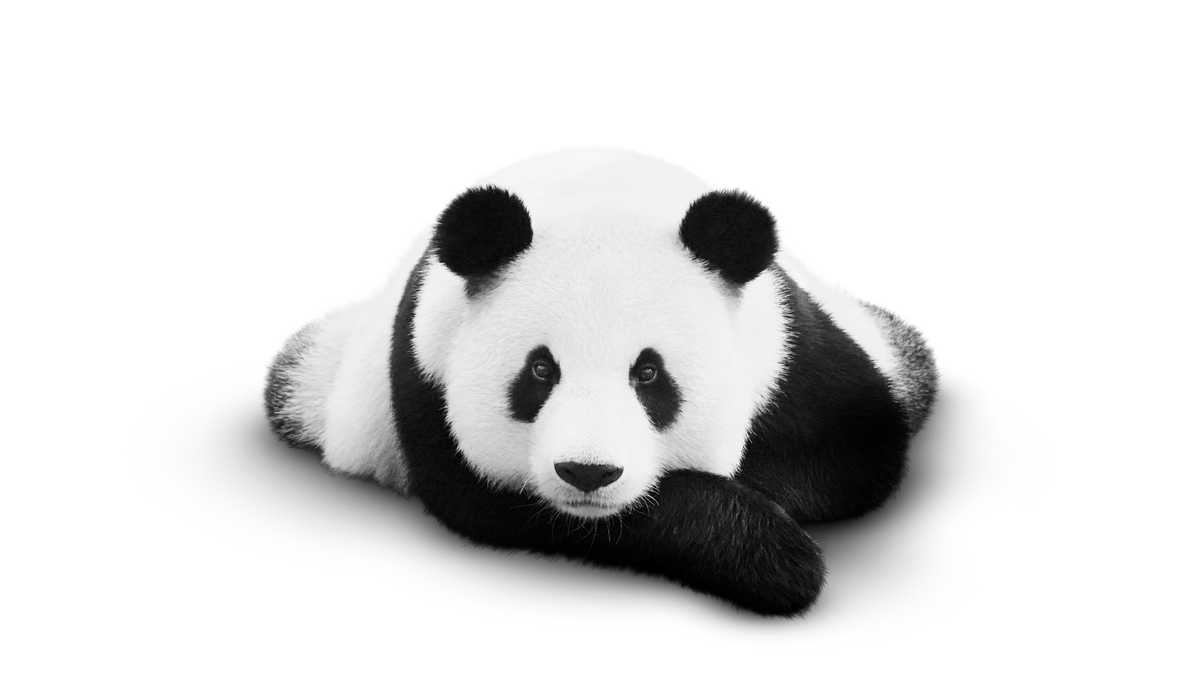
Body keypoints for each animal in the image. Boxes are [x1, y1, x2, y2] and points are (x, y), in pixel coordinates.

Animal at [260, 144, 941, 613]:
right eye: (540, 370)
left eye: (649, 374)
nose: (587, 474)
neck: (601, 192)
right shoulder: (424, 374)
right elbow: (495, 506)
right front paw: (776, 556)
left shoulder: (789, 346)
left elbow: (853, 452)